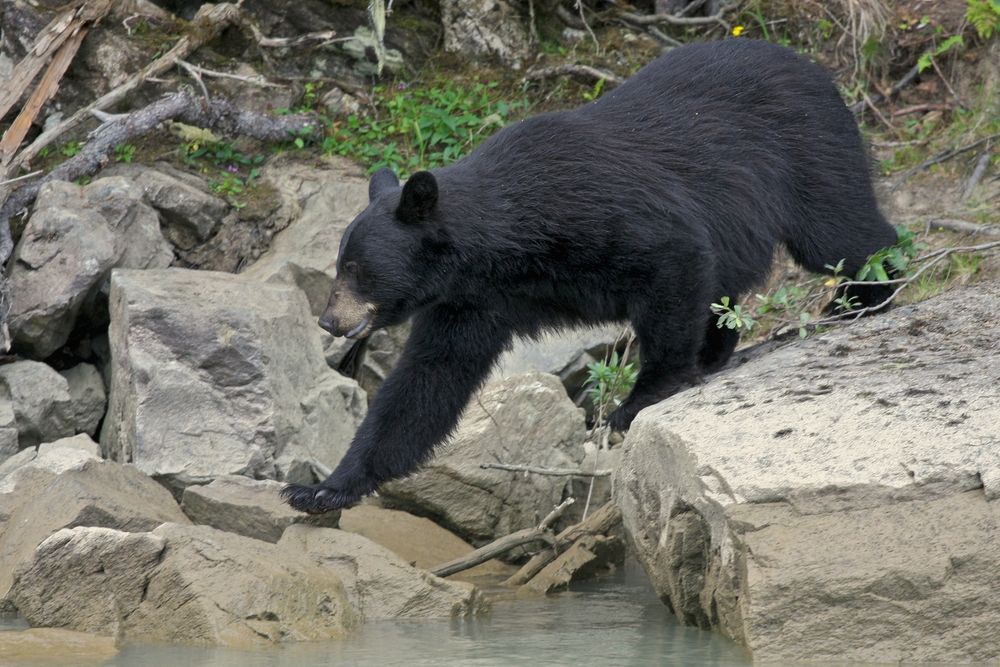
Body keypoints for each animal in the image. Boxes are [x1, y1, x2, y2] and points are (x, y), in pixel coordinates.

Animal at [282, 38, 898, 514]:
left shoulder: (596, 212)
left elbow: (673, 259)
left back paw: (859, 296)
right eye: (340, 265)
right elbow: (426, 383)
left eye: (357, 269)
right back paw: (723, 347)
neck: (503, 244)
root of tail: (819, 71)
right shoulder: (473, 301)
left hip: (806, 150)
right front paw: (322, 489)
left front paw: (640, 397)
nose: (329, 320)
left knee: (841, 231)